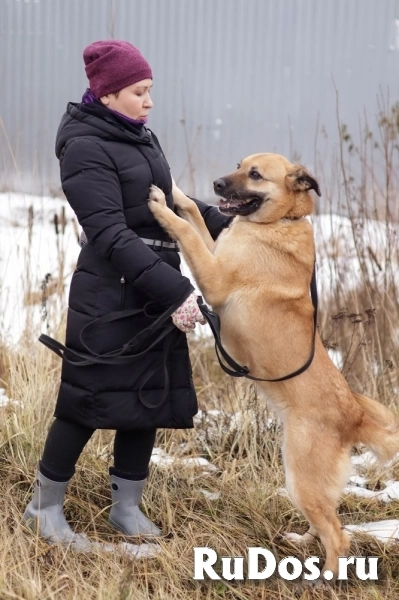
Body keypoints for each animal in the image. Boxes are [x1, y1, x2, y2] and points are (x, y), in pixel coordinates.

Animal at [148, 152, 399, 580]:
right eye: (238, 165)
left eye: (255, 175)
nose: (216, 185)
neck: (279, 222)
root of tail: (353, 414)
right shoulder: (215, 252)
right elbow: (196, 220)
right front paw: (178, 194)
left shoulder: (213, 278)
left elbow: (188, 232)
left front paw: (162, 208)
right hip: (306, 483)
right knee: (328, 522)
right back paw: (301, 542)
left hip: (301, 479)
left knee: (338, 535)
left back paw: (324, 579)